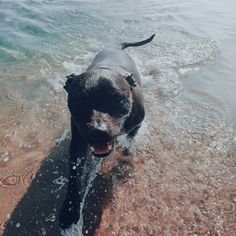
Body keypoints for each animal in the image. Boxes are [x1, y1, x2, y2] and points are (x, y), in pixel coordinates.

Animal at [59, 34, 155, 229]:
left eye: (118, 99)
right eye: (78, 101)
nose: (97, 132)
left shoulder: (136, 124)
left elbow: (131, 139)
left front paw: (127, 150)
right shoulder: (78, 142)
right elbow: (74, 175)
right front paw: (70, 208)